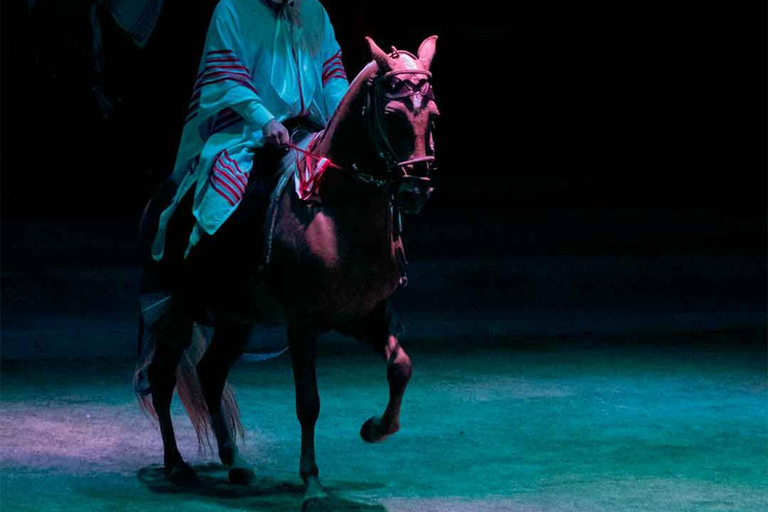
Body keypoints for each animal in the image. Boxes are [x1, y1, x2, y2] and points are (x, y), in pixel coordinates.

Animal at [134, 35, 440, 510]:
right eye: (391, 116)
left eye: (434, 116)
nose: (416, 190)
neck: (339, 213)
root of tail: (161, 195)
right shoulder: (303, 322)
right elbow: (308, 402)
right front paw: (311, 483)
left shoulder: (366, 316)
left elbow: (401, 367)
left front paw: (376, 428)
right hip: (173, 310)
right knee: (165, 379)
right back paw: (177, 466)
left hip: (235, 318)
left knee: (210, 373)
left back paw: (234, 462)